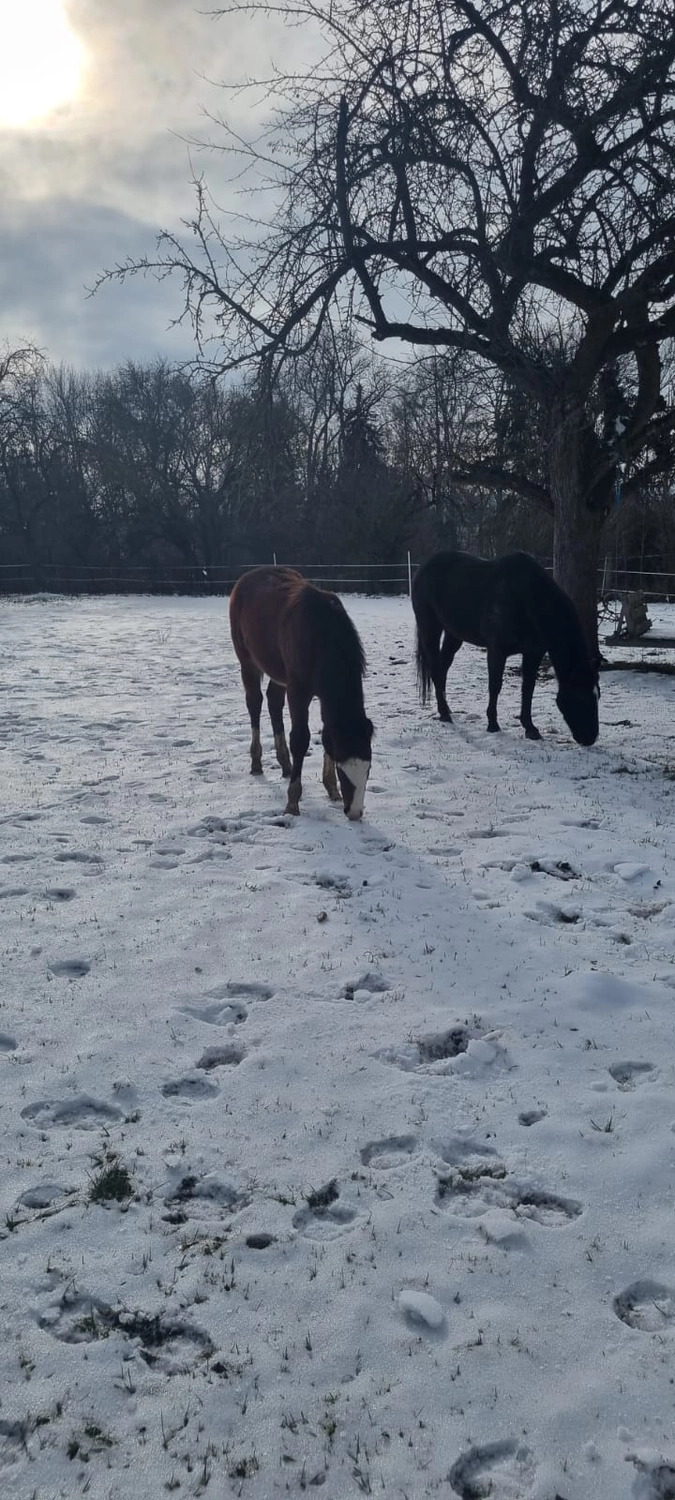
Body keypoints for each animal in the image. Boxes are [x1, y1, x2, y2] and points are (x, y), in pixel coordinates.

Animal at [229, 566, 374, 818]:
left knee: (273, 702)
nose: (354, 812)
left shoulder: (322, 695)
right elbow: (300, 738)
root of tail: (246, 579)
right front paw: (293, 801)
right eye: (342, 770)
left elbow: (327, 734)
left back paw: (286, 765)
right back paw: (257, 762)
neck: (322, 635)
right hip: (248, 662)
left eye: (368, 768)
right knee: (254, 703)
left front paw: (331, 788)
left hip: (278, 672)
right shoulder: (298, 691)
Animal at [412, 550, 600, 745]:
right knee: (435, 668)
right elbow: (495, 685)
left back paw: (446, 709)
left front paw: (530, 728)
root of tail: (424, 567)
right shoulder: (497, 650)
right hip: (430, 628)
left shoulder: (533, 652)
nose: (590, 738)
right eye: (580, 697)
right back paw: (444, 714)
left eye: (597, 696)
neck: (526, 598)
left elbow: (528, 688)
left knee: (443, 667)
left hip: (453, 634)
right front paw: (493, 725)